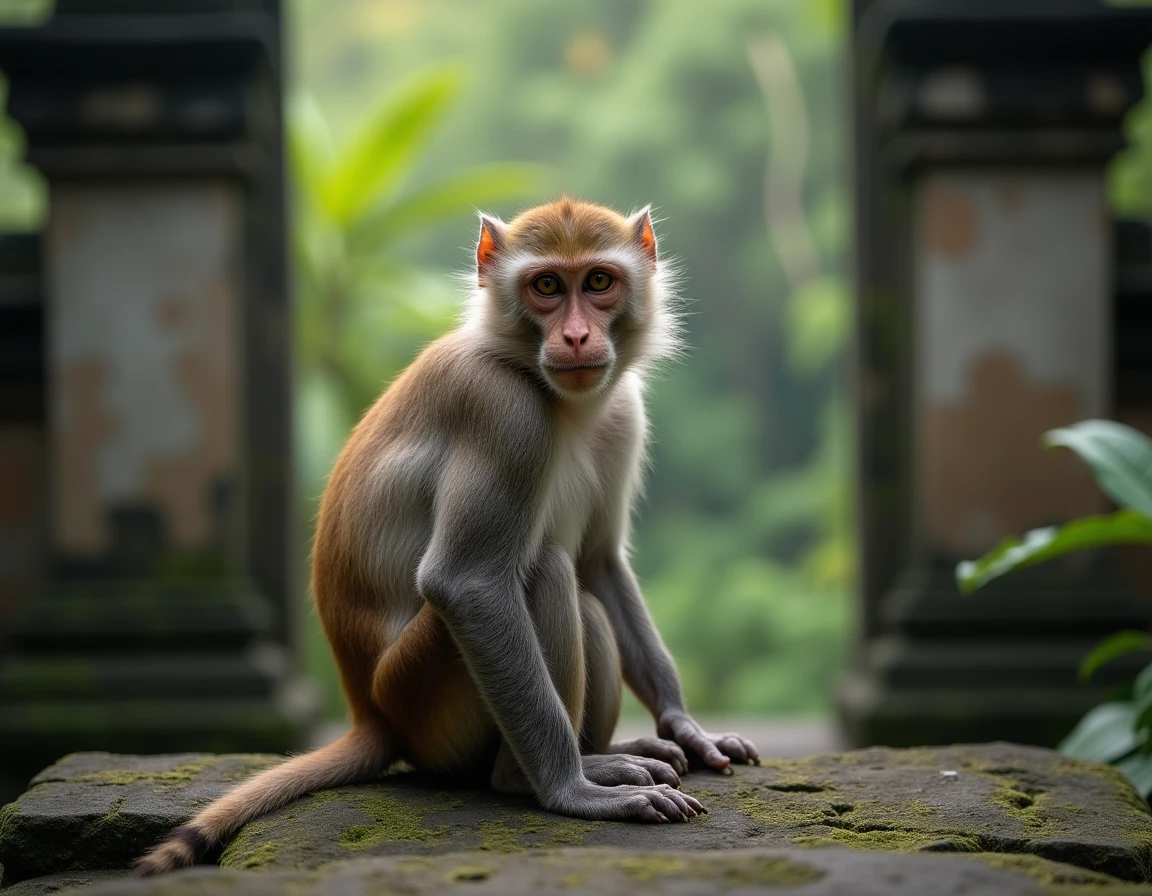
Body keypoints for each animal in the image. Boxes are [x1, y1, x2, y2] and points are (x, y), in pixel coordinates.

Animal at [134, 197, 759, 876]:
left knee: (582, 591)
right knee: (543, 570)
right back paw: (546, 776)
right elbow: (467, 583)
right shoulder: (504, 411)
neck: (544, 385)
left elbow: (599, 562)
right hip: (425, 698)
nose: (575, 337)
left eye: (598, 282)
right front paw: (574, 793)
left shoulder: (622, 413)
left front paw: (686, 727)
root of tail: (372, 712)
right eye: (546, 287)